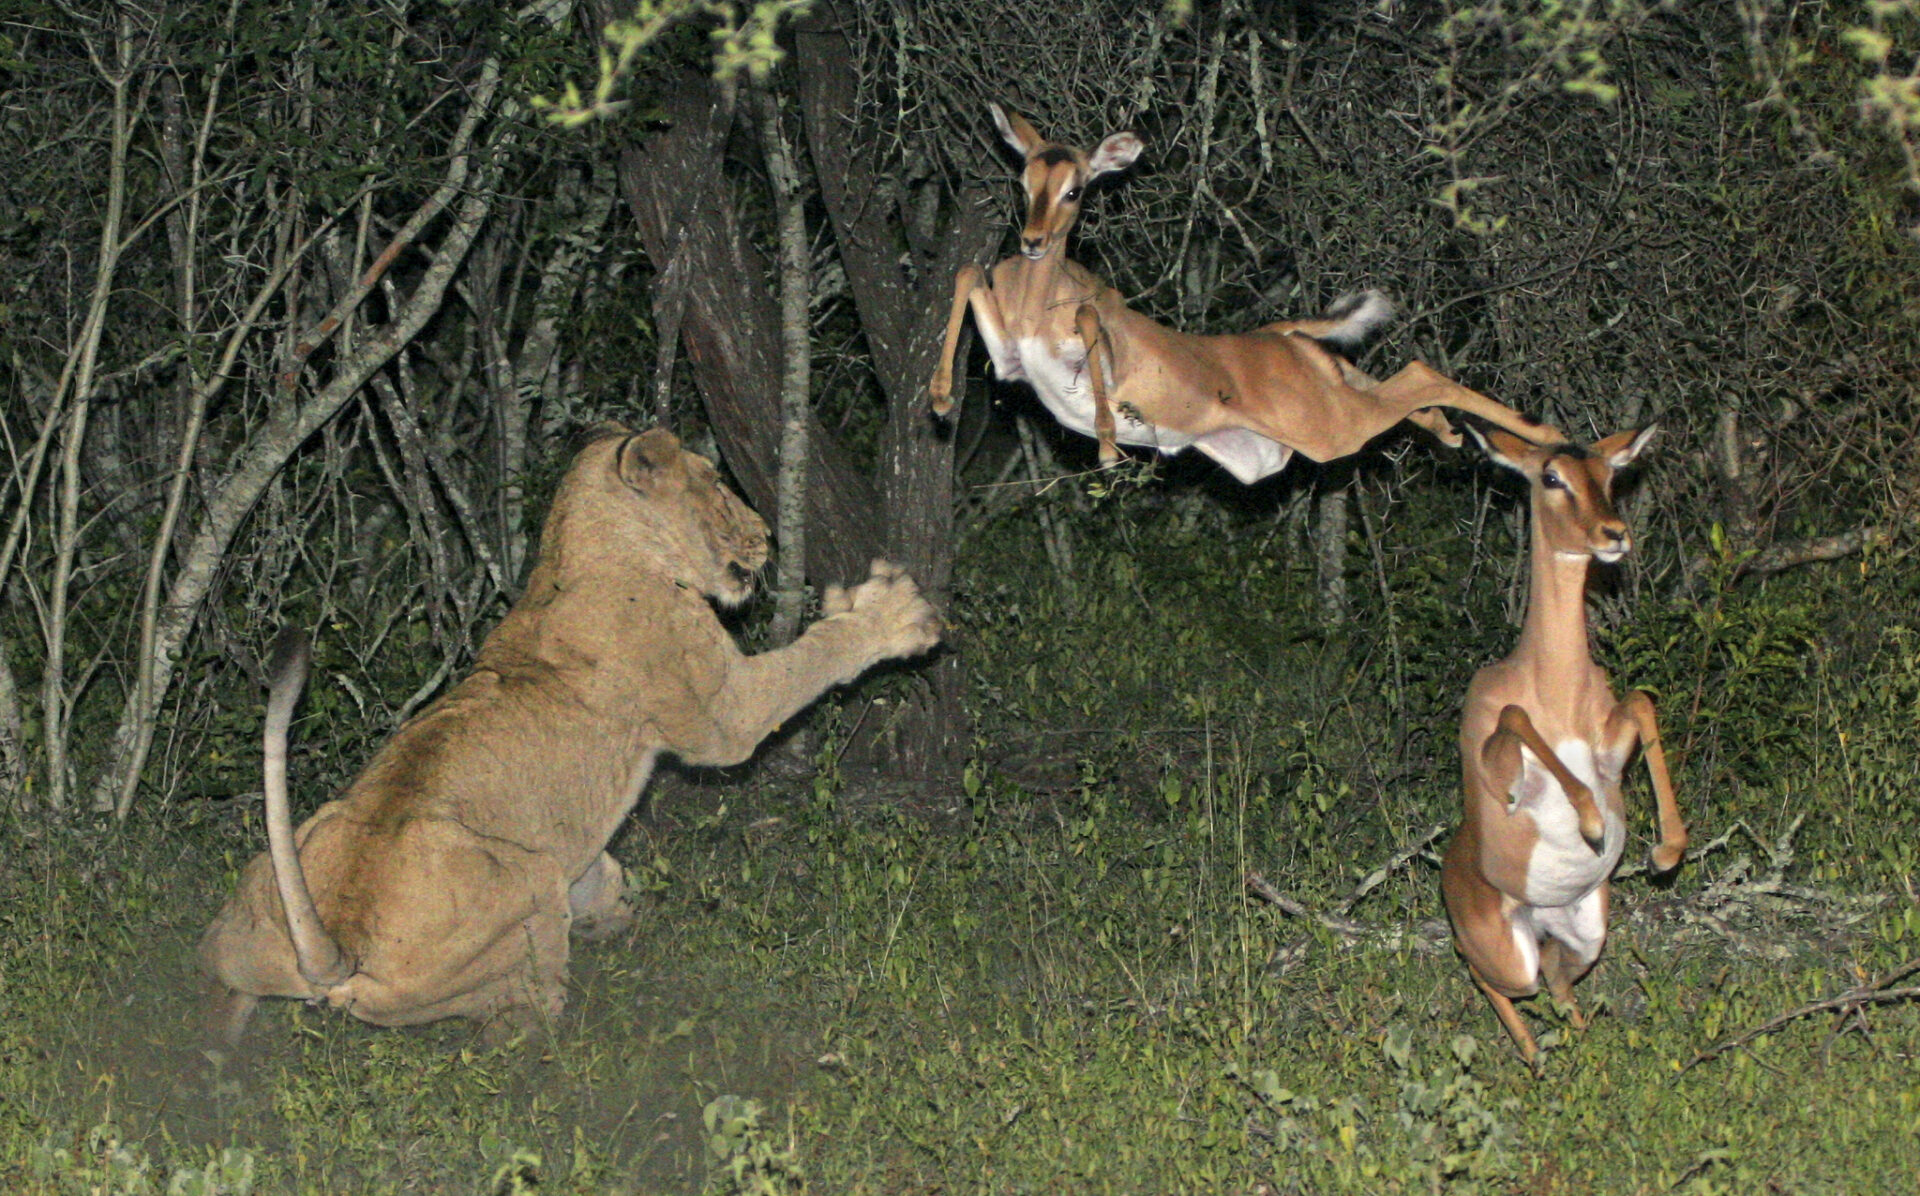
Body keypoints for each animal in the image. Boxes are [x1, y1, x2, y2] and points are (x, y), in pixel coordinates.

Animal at [198, 426, 942, 1043]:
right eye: (714, 482)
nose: (765, 532)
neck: (582, 544)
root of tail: (338, 941)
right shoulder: (724, 713)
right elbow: (812, 658)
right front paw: (892, 615)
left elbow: (604, 871)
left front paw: (612, 909)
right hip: (528, 881)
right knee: (518, 1029)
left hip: (262, 889)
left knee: (220, 984)